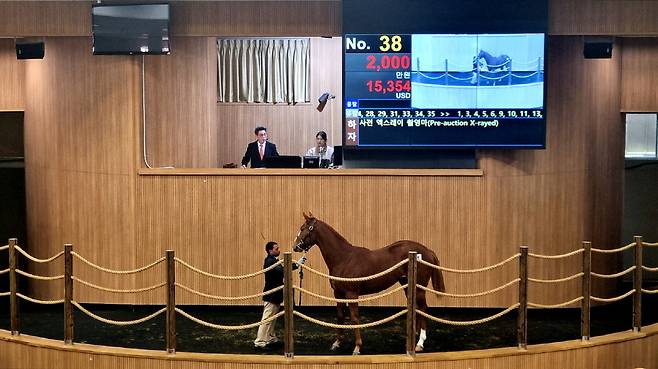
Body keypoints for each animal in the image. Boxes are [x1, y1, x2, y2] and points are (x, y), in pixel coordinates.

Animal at [290, 213, 440, 354]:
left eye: (303, 228)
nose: (295, 246)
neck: (344, 258)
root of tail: (428, 251)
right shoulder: (337, 293)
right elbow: (340, 317)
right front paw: (337, 343)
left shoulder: (352, 294)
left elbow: (355, 318)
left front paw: (357, 347)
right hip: (408, 285)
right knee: (417, 308)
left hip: (420, 288)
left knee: (423, 308)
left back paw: (419, 343)